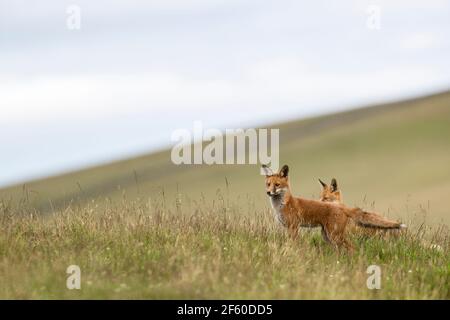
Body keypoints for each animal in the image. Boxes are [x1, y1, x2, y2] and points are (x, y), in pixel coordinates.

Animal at [262, 165, 406, 250]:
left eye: (277, 185)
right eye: (268, 184)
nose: (268, 192)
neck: (281, 205)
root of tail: (342, 207)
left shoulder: (293, 227)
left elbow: (295, 244)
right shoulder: (287, 227)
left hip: (334, 235)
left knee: (352, 247)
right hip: (327, 236)